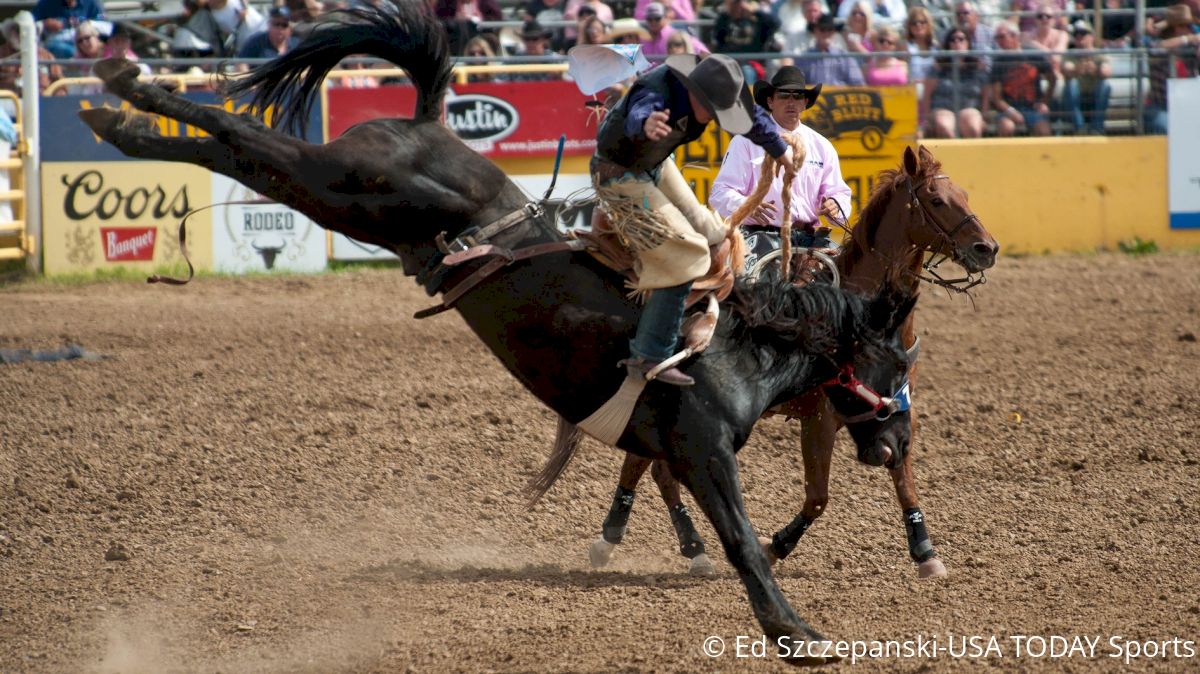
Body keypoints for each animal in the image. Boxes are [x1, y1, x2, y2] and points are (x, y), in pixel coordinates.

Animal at [576, 148, 998, 578]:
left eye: (964, 193)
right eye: (936, 200)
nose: (988, 248)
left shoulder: (896, 408)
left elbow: (902, 475)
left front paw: (925, 551)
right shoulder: (820, 418)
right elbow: (818, 496)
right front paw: (773, 547)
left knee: (656, 467)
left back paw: (690, 548)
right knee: (640, 464)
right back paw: (616, 540)